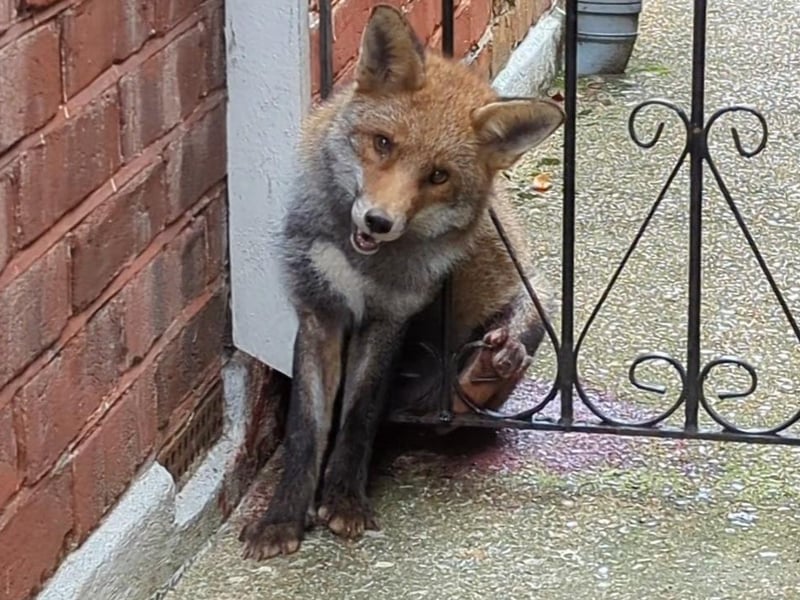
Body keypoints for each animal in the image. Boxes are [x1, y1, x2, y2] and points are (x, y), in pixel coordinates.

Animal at [240, 4, 564, 560]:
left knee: (459, 415)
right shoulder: (319, 310)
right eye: (383, 144)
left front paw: (344, 500)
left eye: (438, 176)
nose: (378, 222)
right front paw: (282, 518)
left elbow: (359, 415)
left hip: (534, 306)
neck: (363, 267)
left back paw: (486, 371)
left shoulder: (390, 317)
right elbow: (306, 428)